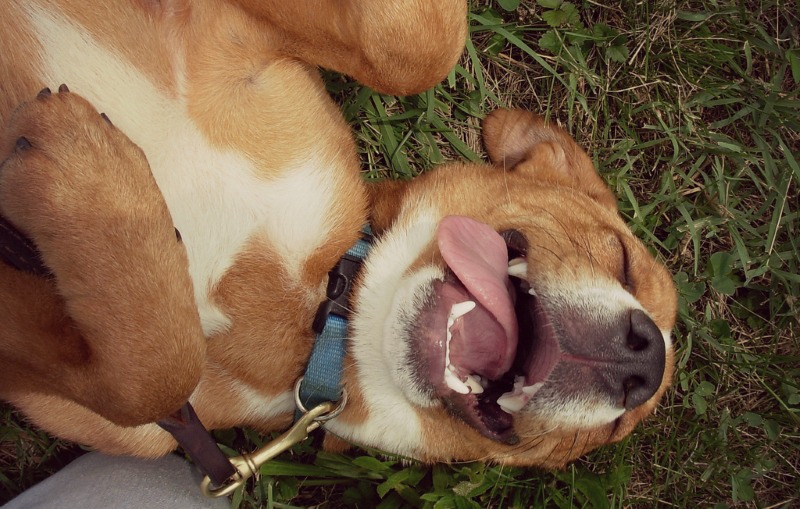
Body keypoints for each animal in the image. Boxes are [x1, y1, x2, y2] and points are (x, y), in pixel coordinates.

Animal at [0, 0, 676, 470]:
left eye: (617, 430)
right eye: (621, 258)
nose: (643, 358)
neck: (319, 304)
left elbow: (150, 374)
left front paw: (85, 174)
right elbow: (419, 47)